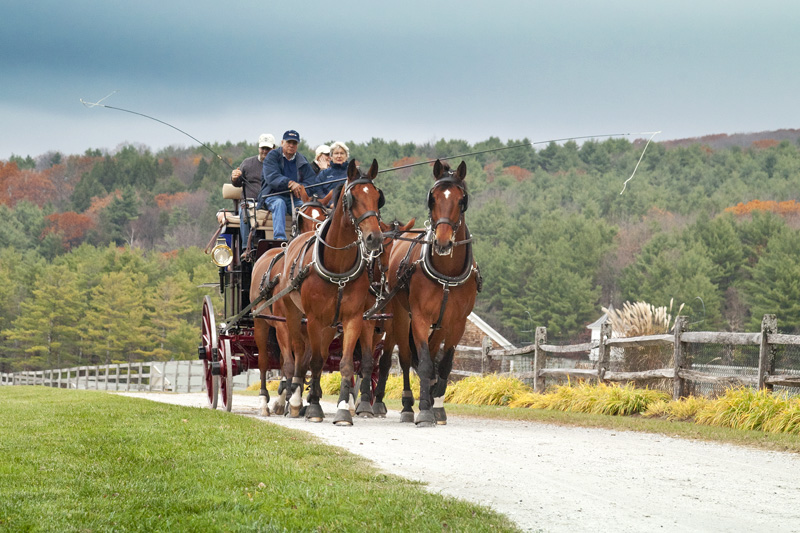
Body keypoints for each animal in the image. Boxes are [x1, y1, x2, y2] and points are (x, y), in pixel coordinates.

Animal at [250, 187, 332, 416]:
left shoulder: (312, 327)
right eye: (300, 219)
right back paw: (264, 401)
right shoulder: (283, 326)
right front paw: (287, 399)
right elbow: (288, 364)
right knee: (263, 361)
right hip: (261, 322)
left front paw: (298, 397)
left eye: (324, 216)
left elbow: (304, 363)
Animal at [278, 158, 384, 424]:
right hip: (293, 314)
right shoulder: (314, 319)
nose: (374, 238)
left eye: (377, 197)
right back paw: (295, 400)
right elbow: (314, 362)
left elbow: (345, 364)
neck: (338, 266)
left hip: (330, 324)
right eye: (352, 198)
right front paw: (313, 408)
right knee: (299, 353)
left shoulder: (353, 318)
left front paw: (344, 410)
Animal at [374, 160, 478, 426]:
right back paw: (402, 405)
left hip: (437, 325)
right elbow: (423, 365)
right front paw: (423, 410)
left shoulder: (457, 323)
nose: (442, 242)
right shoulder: (419, 318)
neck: (446, 274)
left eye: (461, 200)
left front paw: (437, 406)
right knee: (401, 358)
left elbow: (443, 365)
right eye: (433, 199)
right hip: (400, 317)